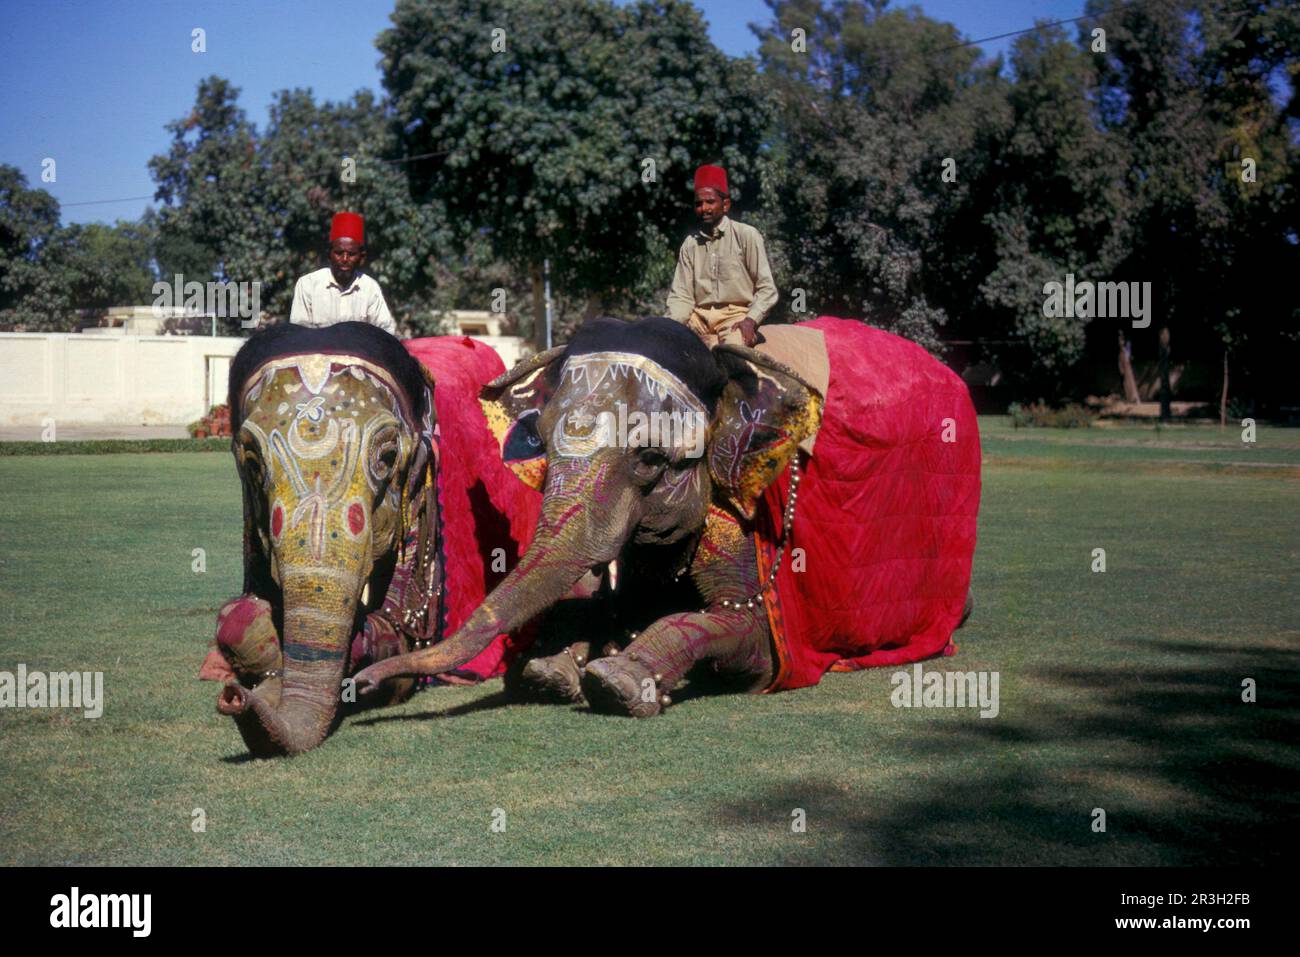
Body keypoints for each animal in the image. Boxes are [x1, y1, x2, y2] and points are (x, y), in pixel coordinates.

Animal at [353, 315, 981, 716]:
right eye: (543, 445)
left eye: (652, 458)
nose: (361, 680)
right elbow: (611, 605)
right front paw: (550, 672)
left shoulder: (740, 513)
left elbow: (742, 628)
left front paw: (618, 681)